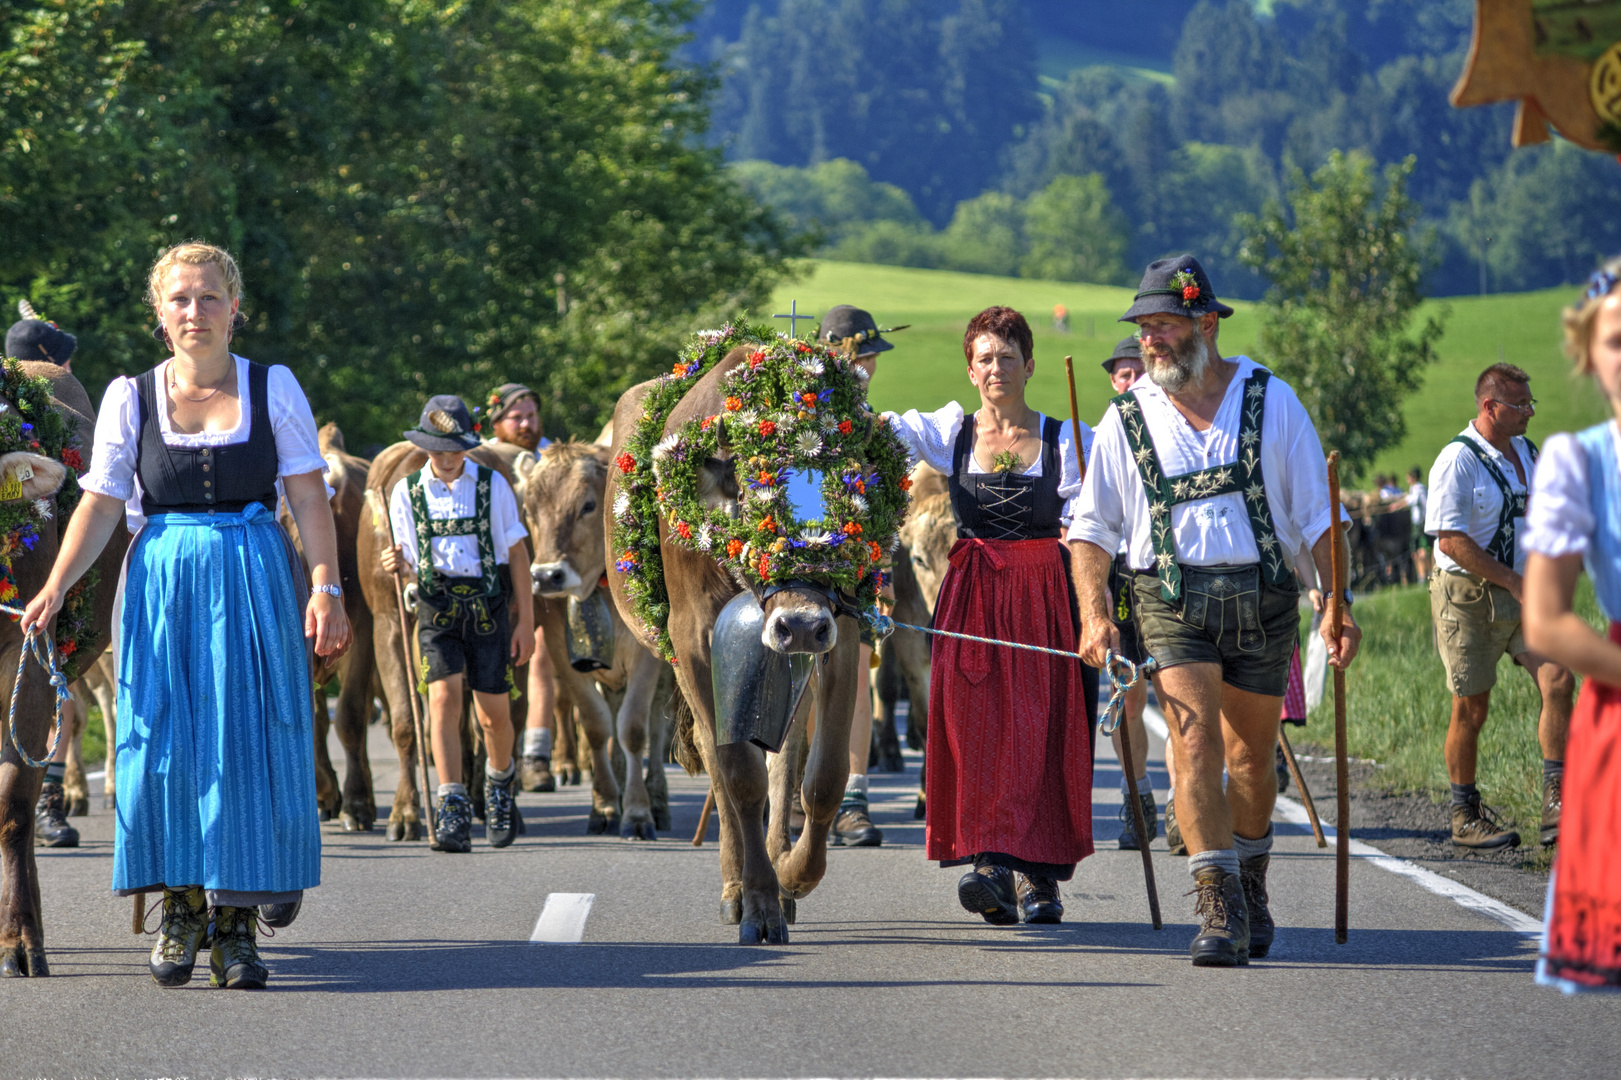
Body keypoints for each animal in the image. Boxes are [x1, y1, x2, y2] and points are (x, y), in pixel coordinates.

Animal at [525, 441, 664, 836]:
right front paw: (604, 805)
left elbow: (634, 728)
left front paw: (638, 812)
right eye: (529, 510)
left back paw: (658, 799)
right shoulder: (561, 650)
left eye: (588, 505)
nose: (547, 576)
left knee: (657, 725)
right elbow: (597, 726)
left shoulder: (647, 658)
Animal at [603, 351, 868, 940]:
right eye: (752, 498)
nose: (799, 624)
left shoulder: (842, 631)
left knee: (784, 756)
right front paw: (760, 904)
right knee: (716, 756)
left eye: (849, 498)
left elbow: (822, 777)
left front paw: (793, 877)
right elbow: (738, 774)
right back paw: (735, 888)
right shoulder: (694, 638)